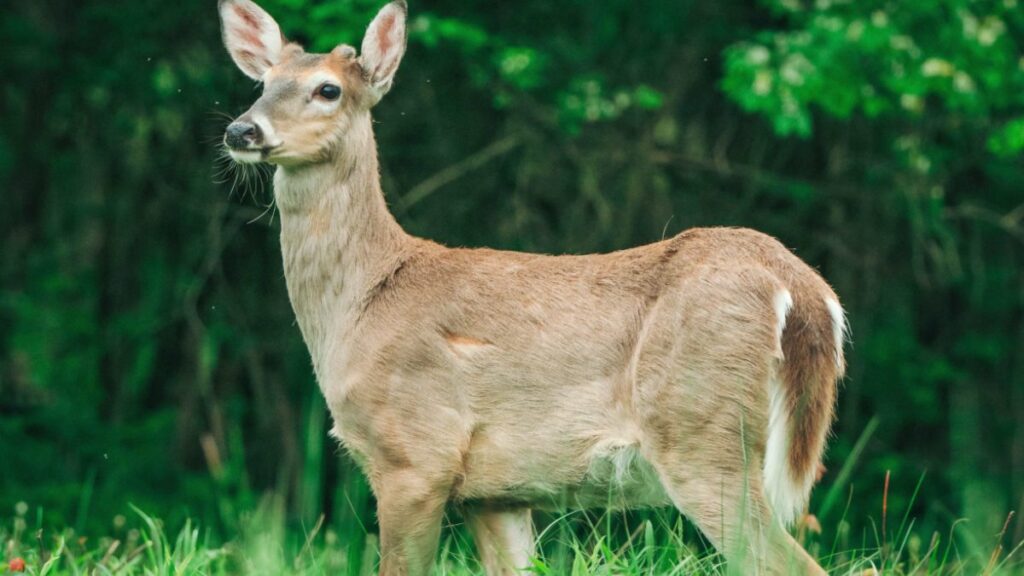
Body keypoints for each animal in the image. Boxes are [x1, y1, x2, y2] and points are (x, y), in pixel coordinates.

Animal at [217, 1, 847, 574]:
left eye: (328, 89)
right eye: (262, 84)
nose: (241, 129)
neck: (360, 302)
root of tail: (801, 286)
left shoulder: (416, 454)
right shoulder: (495, 492)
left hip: (702, 432)